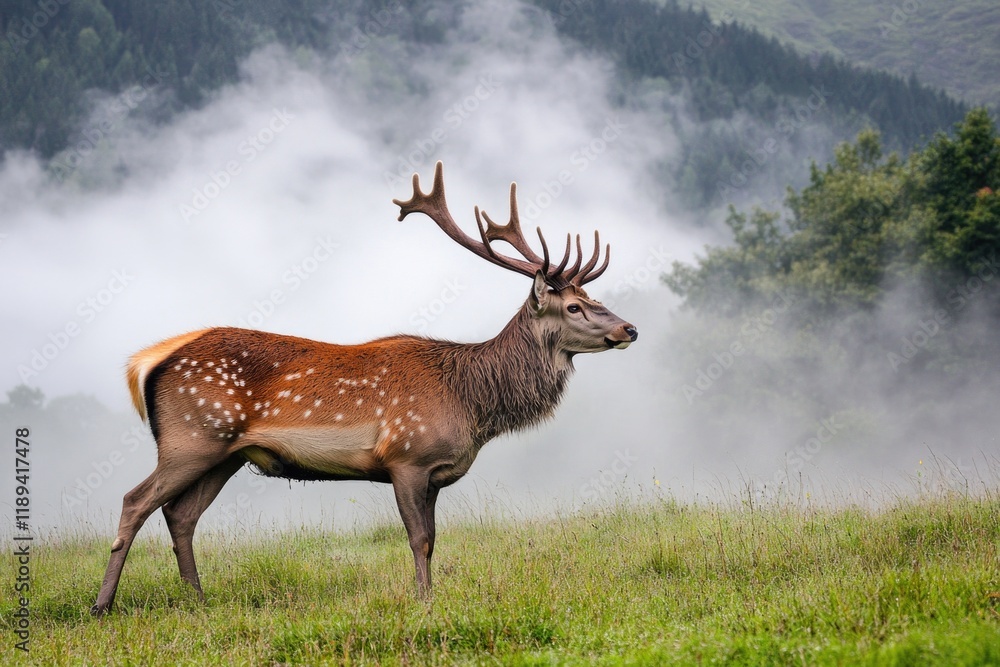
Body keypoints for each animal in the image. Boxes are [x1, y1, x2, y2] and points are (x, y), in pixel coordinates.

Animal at [91, 161, 637, 616]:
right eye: (573, 307)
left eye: (594, 297)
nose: (629, 328)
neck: (472, 403)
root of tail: (148, 361)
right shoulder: (407, 457)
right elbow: (419, 540)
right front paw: (424, 603)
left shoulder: (434, 474)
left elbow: (434, 539)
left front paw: (429, 596)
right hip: (191, 436)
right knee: (136, 502)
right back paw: (103, 606)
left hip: (226, 453)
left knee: (180, 515)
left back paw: (198, 601)